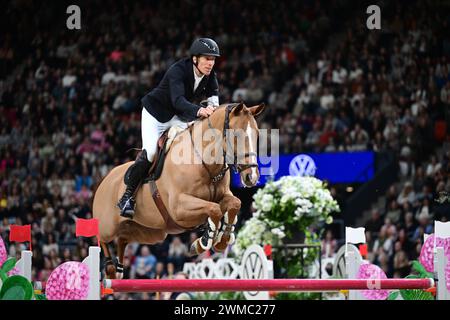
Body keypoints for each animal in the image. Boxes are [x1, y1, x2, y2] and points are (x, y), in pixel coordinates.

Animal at [92, 102, 266, 278]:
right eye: (236, 135)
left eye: (257, 134)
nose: (252, 176)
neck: (203, 162)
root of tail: (104, 180)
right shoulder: (179, 207)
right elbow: (214, 209)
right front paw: (204, 241)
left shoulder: (223, 196)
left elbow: (234, 203)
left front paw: (220, 241)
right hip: (108, 226)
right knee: (102, 237)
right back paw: (110, 268)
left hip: (151, 233)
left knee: (123, 238)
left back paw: (119, 270)